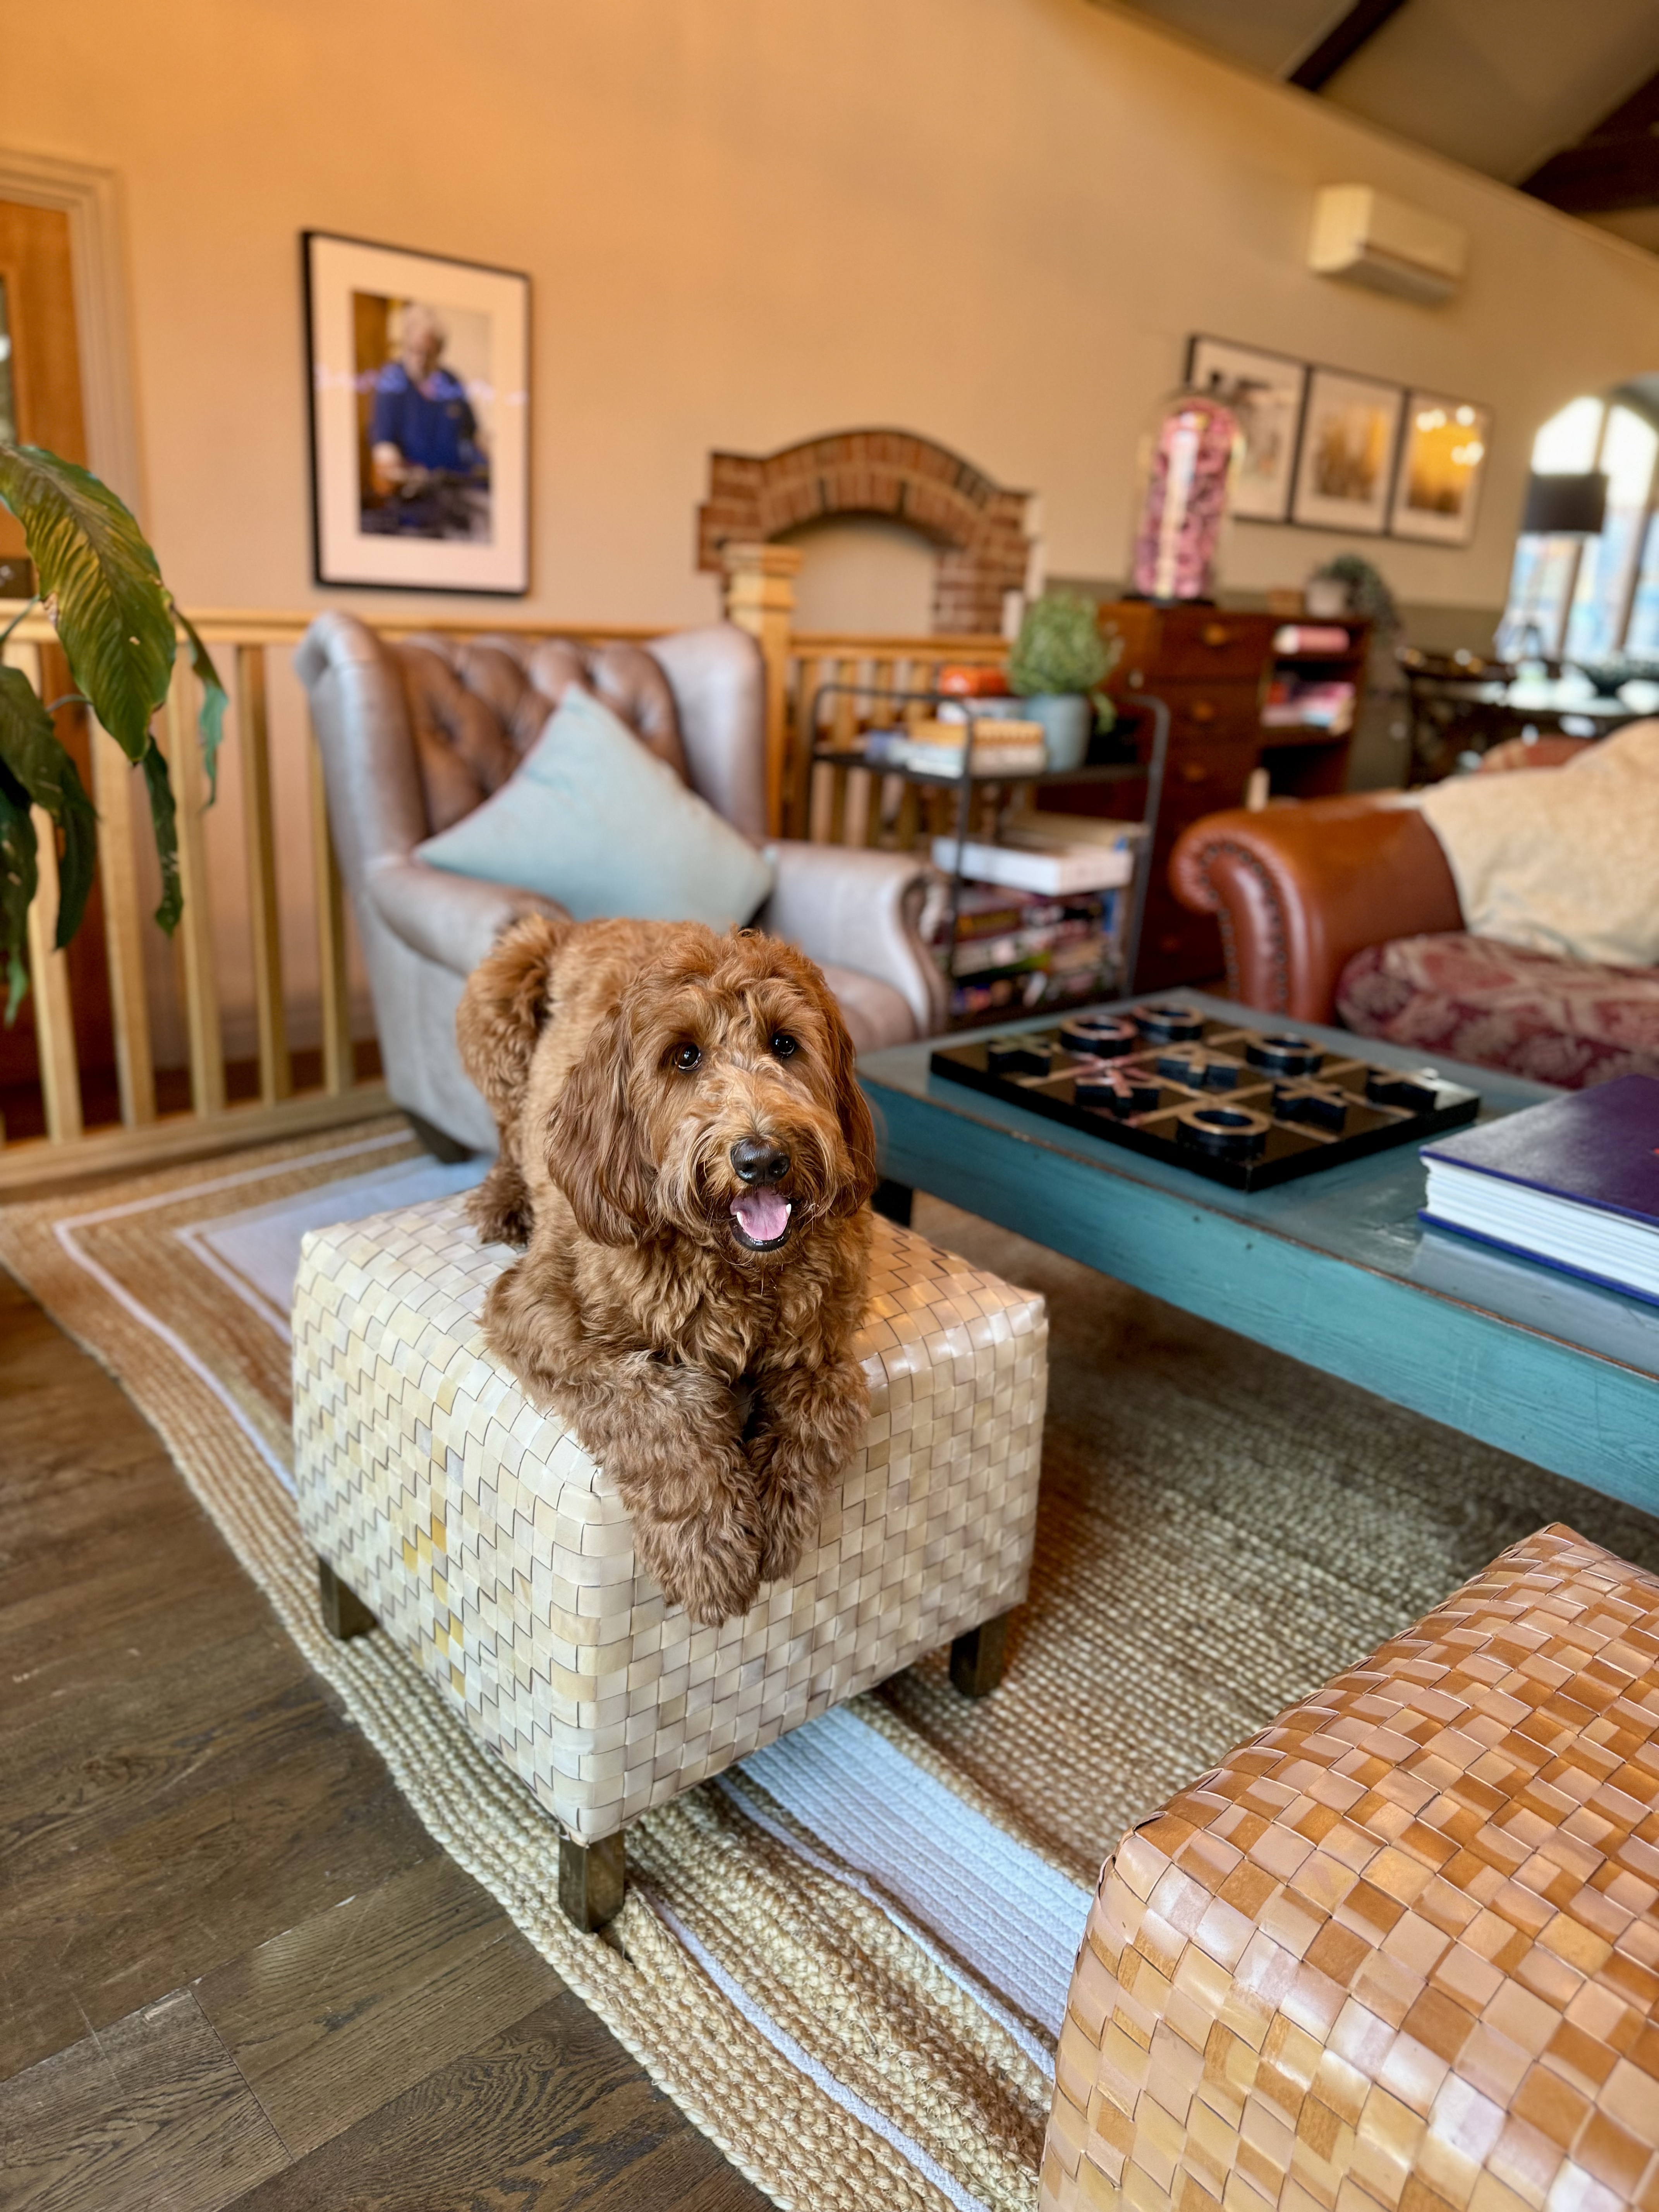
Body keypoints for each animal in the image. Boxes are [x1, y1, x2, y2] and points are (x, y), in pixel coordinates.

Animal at [456, 916, 877, 1626]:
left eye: (785, 1043)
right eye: (684, 1057)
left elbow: (819, 1414)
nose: (761, 1159)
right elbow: (659, 1405)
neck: (732, 1267)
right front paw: (709, 1548)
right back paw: (504, 1199)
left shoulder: (826, 1340)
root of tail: (576, 923)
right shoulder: (543, 1311)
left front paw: (780, 1514)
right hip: (501, 997)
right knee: (509, 1135)